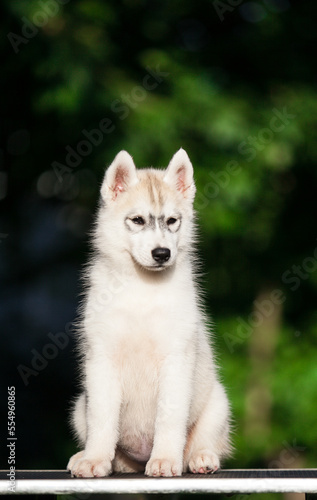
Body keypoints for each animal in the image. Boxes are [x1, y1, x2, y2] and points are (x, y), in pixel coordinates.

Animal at [67, 148, 230, 476]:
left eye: (172, 221)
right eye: (138, 220)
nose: (162, 254)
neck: (143, 288)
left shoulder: (176, 359)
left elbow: (170, 417)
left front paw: (165, 459)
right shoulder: (101, 360)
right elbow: (102, 419)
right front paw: (94, 459)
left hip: (218, 402)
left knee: (205, 441)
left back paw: (201, 458)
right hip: (79, 406)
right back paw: (89, 457)